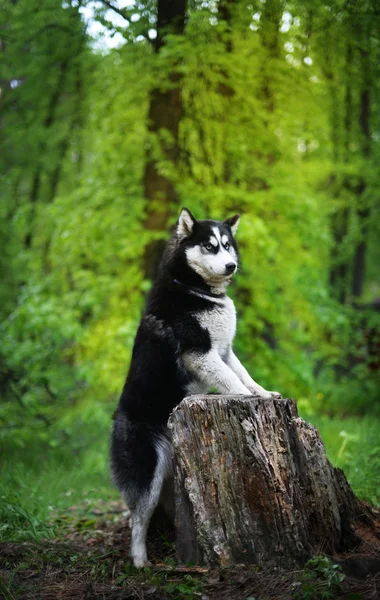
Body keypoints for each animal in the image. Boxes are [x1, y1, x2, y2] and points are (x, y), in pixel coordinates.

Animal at [110, 209, 280, 564]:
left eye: (227, 245)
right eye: (209, 246)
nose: (230, 266)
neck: (194, 289)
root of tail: (118, 418)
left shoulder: (224, 351)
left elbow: (244, 375)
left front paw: (263, 394)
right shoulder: (200, 352)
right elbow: (232, 381)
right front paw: (244, 398)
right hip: (147, 473)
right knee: (137, 519)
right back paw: (140, 561)